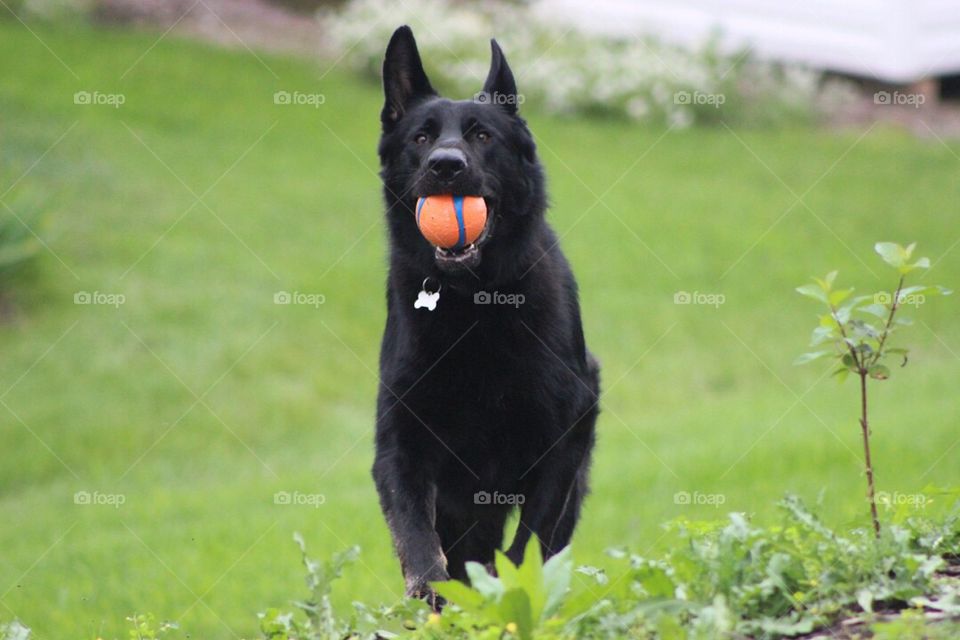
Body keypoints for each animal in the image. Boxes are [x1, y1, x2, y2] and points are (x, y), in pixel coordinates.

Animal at [372, 26, 596, 604]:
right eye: (420, 138)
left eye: (482, 136)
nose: (445, 166)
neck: (473, 303)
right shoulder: (400, 444)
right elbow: (417, 539)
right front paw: (437, 598)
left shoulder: (563, 441)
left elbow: (530, 544)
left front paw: (510, 594)